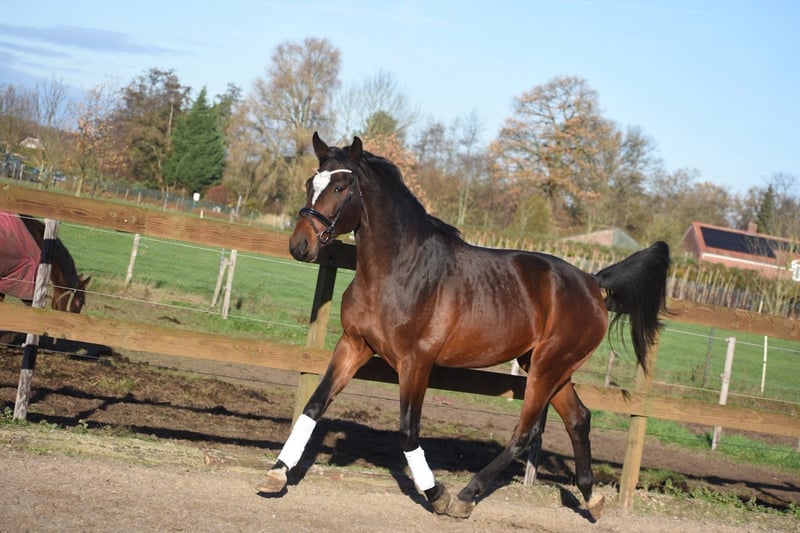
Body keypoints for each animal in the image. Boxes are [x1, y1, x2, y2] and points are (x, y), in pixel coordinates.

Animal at [256, 133, 670, 520]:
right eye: (311, 182)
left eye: (341, 187)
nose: (300, 245)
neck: (396, 272)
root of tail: (593, 283)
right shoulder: (354, 345)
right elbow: (314, 405)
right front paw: (276, 473)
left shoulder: (416, 362)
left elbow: (408, 432)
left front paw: (436, 494)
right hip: (549, 365)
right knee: (579, 419)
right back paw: (592, 498)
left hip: (549, 366)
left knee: (526, 432)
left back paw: (466, 496)